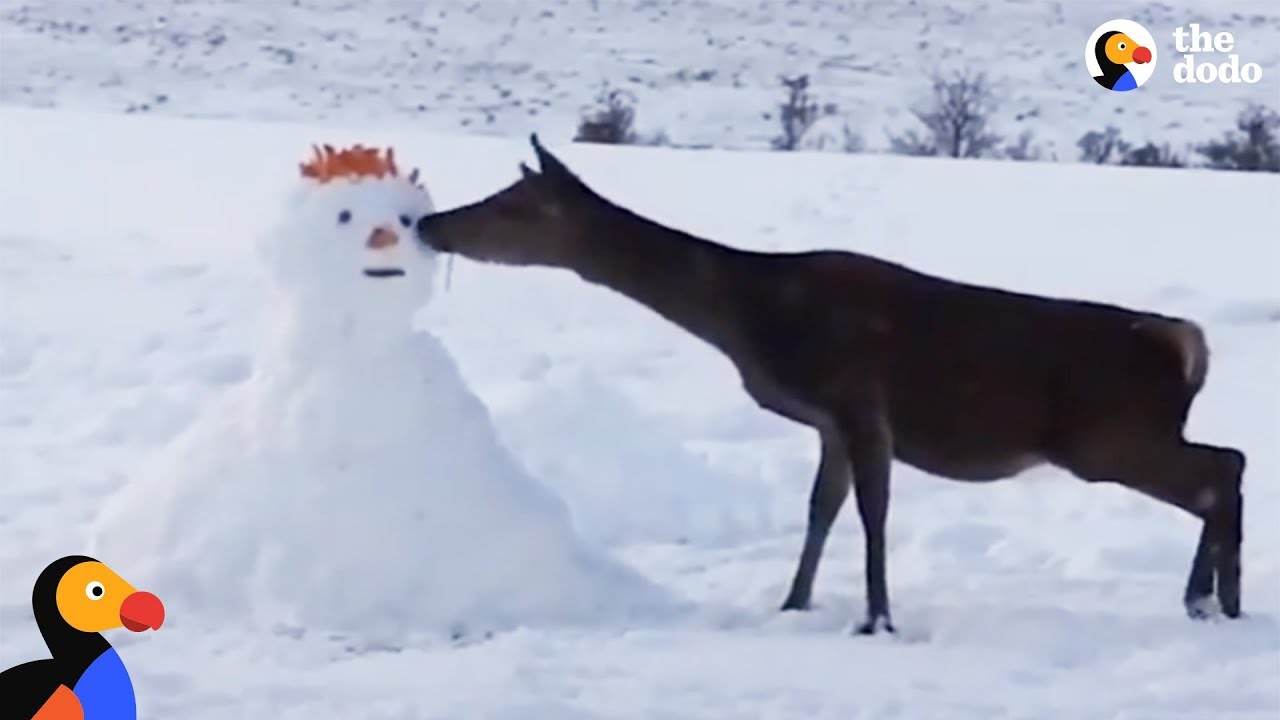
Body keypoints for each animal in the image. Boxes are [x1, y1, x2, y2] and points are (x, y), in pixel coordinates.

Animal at [414, 134, 1246, 635]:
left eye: (513, 206)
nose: (429, 225)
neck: (754, 319)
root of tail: (1185, 347)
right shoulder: (829, 420)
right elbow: (822, 509)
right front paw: (794, 602)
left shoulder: (859, 400)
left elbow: (873, 513)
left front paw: (876, 619)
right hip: (1121, 434)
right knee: (1227, 463)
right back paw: (1213, 601)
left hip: (1103, 435)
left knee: (1221, 470)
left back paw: (1209, 599)